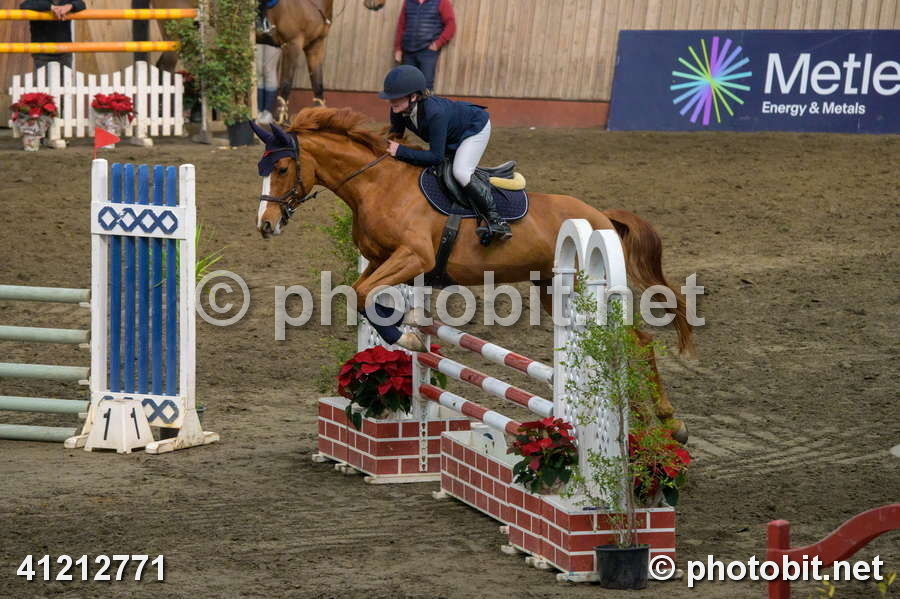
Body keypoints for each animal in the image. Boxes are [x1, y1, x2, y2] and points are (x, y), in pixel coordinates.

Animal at [252, 107, 694, 441]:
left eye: (283, 167)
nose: (265, 226)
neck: (378, 184)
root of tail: (600, 217)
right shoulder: (382, 261)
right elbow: (358, 294)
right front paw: (408, 332)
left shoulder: (413, 257)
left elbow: (363, 295)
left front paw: (407, 336)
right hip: (552, 290)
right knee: (629, 340)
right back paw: (645, 421)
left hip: (582, 288)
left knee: (637, 340)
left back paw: (666, 423)